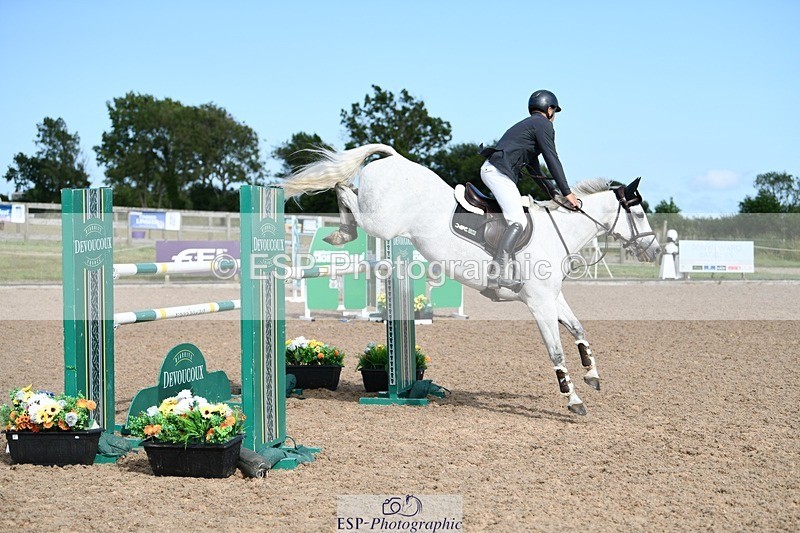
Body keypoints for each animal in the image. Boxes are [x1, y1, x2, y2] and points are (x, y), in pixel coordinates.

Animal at [281, 144, 661, 415]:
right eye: (639, 213)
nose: (655, 251)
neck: (558, 233)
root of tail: (394, 158)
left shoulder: (553, 297)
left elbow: (579, 329)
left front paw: (592, 375)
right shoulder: (538, 303)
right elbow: (555, 350)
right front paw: (573, 400)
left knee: (347, 189)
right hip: (382, 223)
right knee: (344, 189)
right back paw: (341, 233)